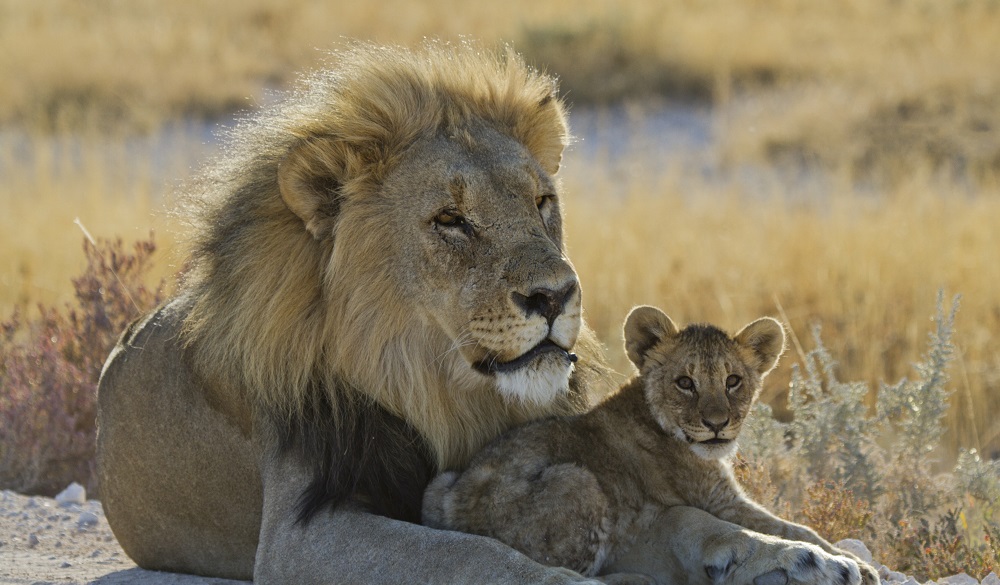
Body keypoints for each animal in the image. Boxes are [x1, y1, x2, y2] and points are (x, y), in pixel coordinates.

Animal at [95, 42, 868, 584]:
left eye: (542, 202)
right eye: (450, 220)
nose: (557, 295)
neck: (441, 391)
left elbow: (694, 517)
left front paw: (811, 556)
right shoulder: (299, 533)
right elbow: (480, 558)